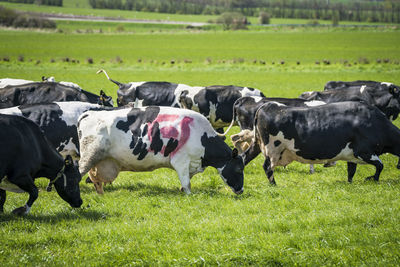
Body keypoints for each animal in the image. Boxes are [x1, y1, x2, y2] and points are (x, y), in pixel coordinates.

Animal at [75, 105, 244, 196]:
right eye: (238, 169)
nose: (241, 190)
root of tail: (89, 113)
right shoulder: (181, 160)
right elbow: (187, 182)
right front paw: (189, 195)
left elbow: (187, 180)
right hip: (89, 156)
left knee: (96, 179)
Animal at [242, 102, 400, 186]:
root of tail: (267, 105)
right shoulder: (363, 151)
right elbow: (380, 165)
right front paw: (373, 179)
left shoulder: (351, 155)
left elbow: (351, 172)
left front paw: (350, 183)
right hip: (273, 149)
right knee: (267, 167)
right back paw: (274, 185)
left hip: (257, 145)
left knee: (244, 158)